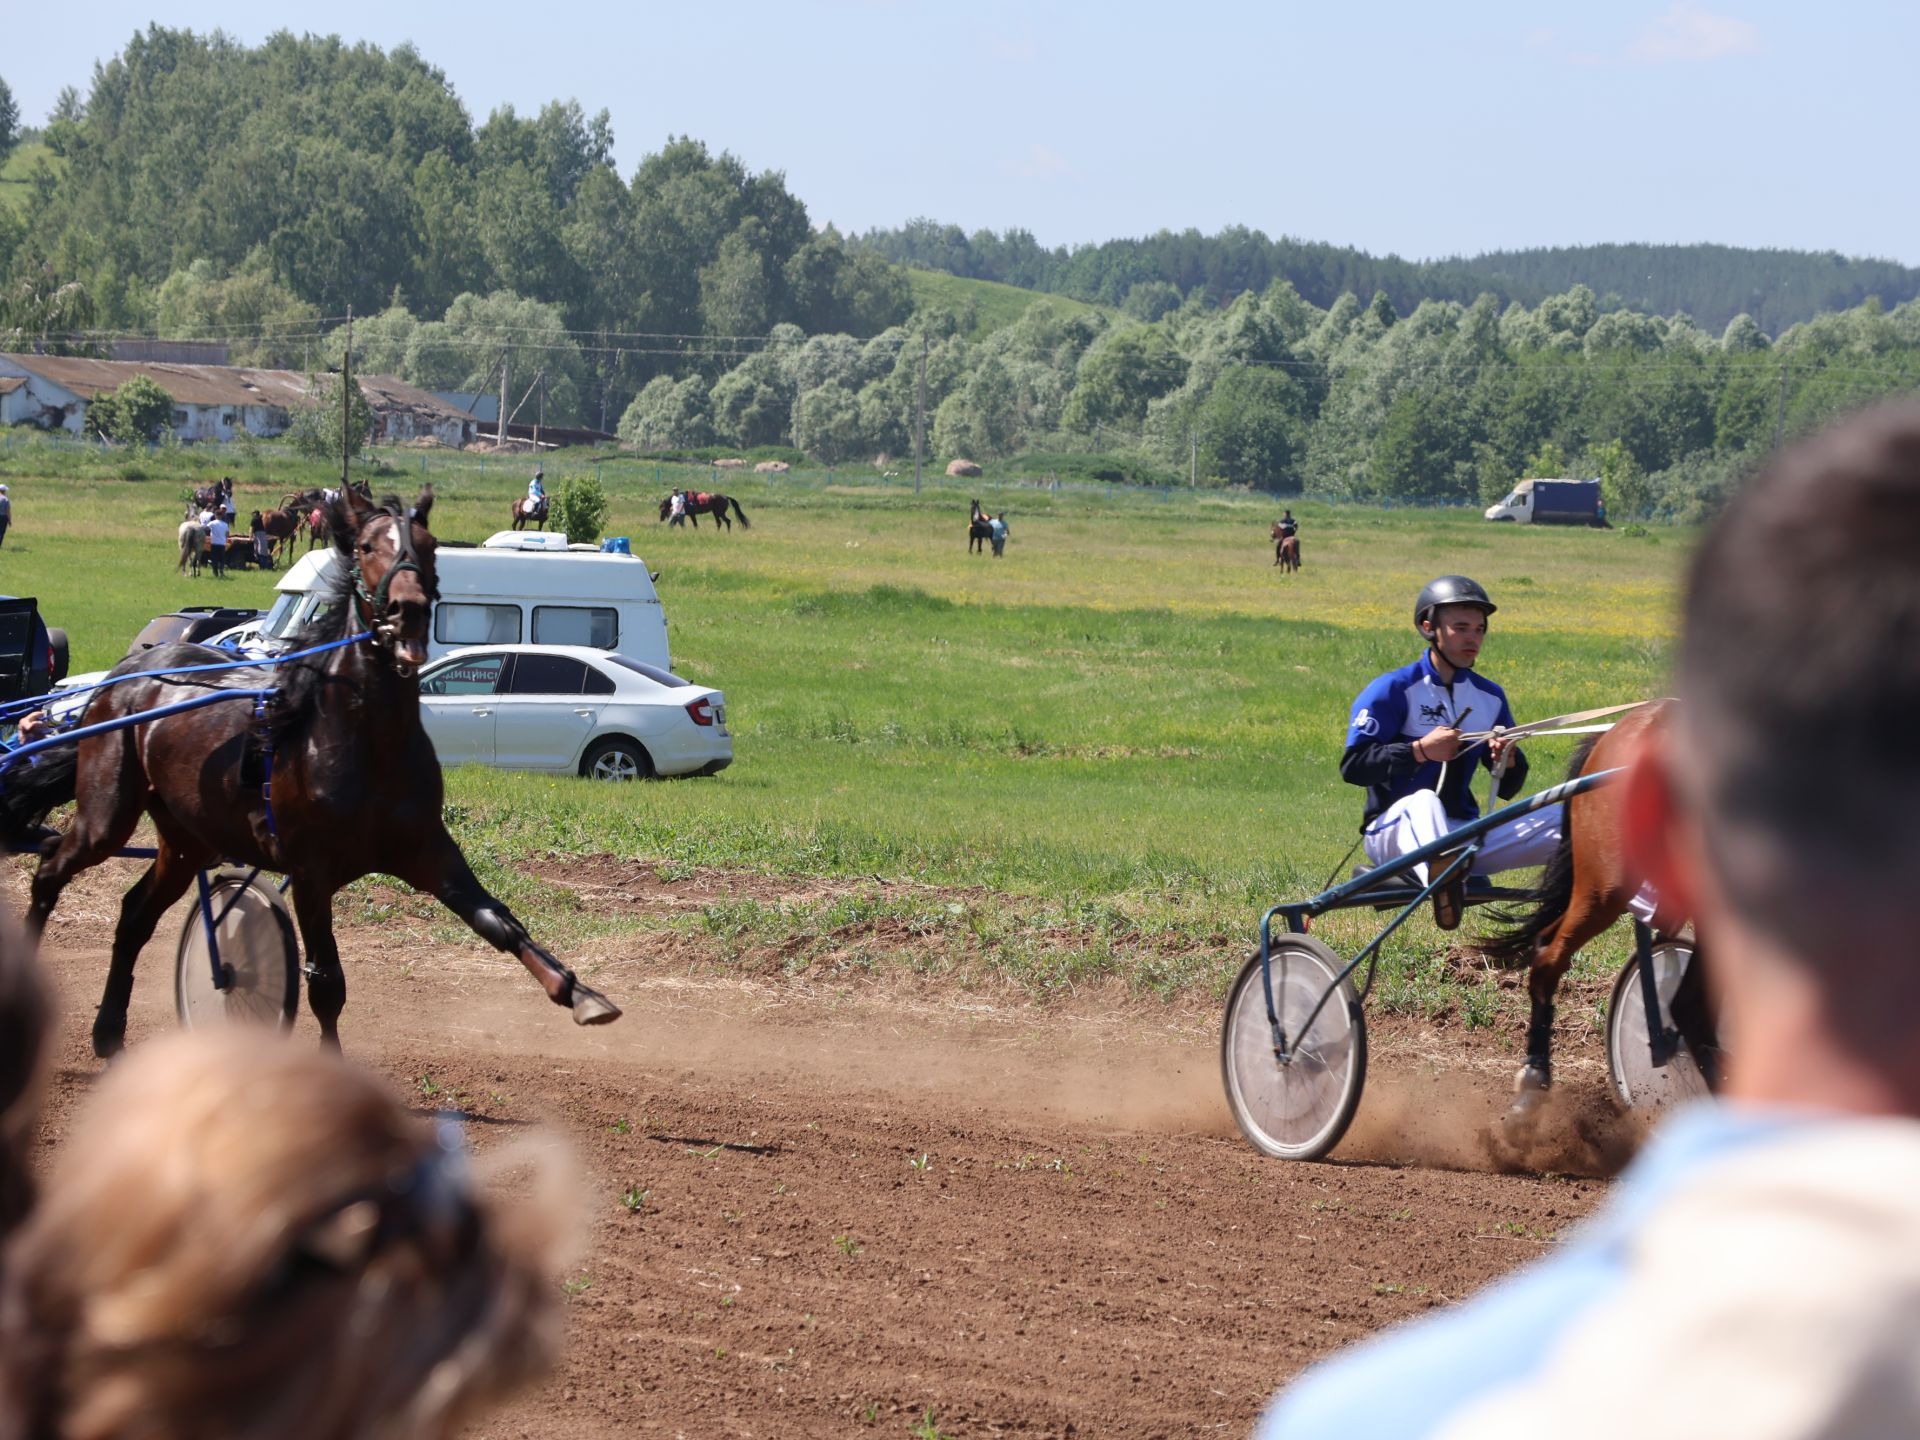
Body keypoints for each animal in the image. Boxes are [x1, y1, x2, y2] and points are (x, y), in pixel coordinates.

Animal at [24, 485, 622, 1059]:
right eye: (367, 547)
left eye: (429, 546)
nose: (407, 610)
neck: (368, 745)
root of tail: (127, 670)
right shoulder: (311, 870)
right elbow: (327, 983)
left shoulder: (428, 849)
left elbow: (496, 920)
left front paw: (581, 994)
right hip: (107, 813)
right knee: (51, 872)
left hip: (188, 840)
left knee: (133, 917)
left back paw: (108, 1032)